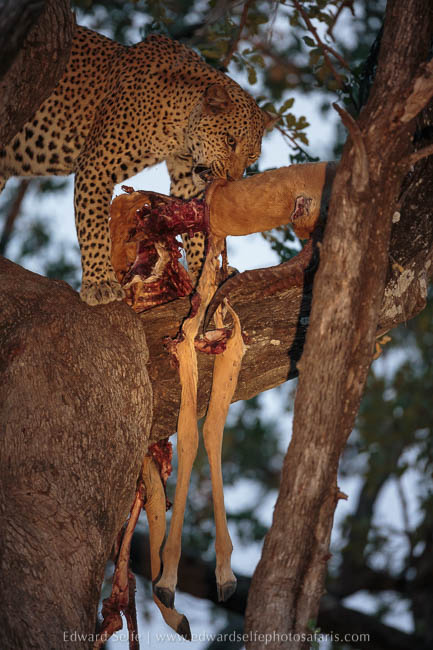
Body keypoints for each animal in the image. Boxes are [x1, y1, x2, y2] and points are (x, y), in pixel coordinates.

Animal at [0, 24, 274, 305]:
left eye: (252, 157)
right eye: (230, 141)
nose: (231, 180)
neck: (179, 129)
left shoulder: (187, 179)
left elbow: (197, 228)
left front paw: (203, 273)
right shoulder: (96, 164)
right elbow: (93, 225)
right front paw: (99, 282)